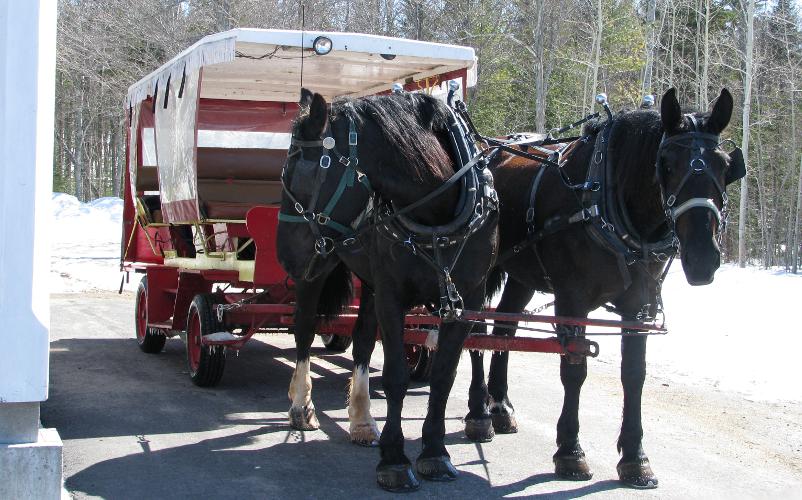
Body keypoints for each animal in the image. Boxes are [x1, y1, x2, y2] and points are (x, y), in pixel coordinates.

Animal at [278, 88, 496, 490]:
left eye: (300, 173)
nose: (284, 255)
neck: (436, 211)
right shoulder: (393, 295)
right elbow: (396, 376)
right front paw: (394, 460)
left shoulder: (466, 299)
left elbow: (443, 377)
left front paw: (435, 452)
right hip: (319, 272)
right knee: (304, 330)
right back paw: (301, 405)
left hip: (368, 280)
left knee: (363, 339)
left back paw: (362, 420)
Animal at [462, 89, 744, 488]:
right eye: (667, 164)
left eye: (725, 165)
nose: (703, 258)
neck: (604, 200)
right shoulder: (572, 300)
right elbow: (574, 370)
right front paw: (570, 452)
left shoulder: (639, 307)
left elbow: (634, 375)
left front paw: (635, 458)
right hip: (476, 271)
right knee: (473, 329)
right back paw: (478, 414)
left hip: (522, 274)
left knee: (503, 328)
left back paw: (500, 407)